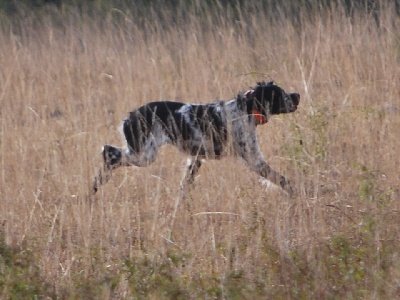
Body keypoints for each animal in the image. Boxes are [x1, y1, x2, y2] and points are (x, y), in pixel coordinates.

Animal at [93, 81, 300, 196]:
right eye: (280, 94)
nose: (297, 95)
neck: (245, 109)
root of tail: (130, 117)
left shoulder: (196, 158)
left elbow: (184, 187)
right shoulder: (253, 159)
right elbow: (283, 180)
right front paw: (297, 193)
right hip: (144, 154)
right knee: (109, 152)